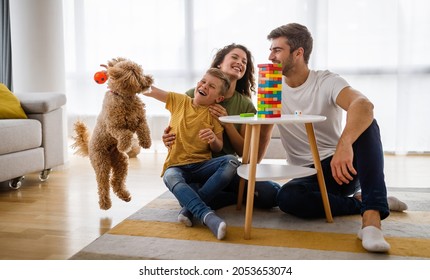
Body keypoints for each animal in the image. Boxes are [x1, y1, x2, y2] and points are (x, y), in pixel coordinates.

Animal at [72, 57, 155, 210]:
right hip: (101, 162)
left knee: (115, 181)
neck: (125, 97)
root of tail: (89, 146)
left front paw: (146, 143)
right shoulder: (114, 126)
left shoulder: (140, 119)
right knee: (103, 184)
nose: (150, 78)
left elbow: (144, 129)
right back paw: (105, 204)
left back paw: (125, 196)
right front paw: (124, 146)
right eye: (139, 74)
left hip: (121, 162)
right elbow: (125, 134)